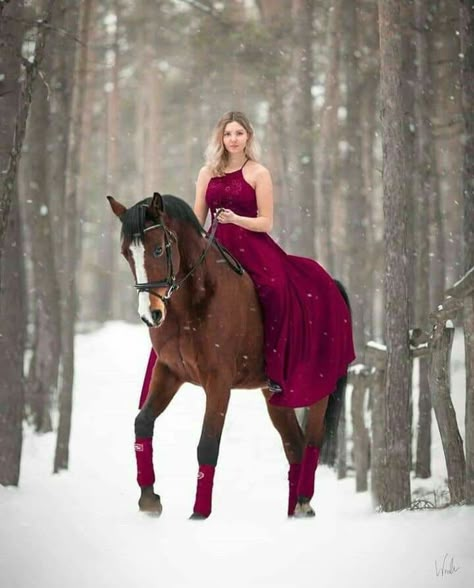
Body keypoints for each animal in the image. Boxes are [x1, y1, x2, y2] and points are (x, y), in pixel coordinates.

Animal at [107, 193, 348, 520]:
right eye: (126, 254)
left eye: (158, 249)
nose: (150, 315)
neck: (194, 300)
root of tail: (331, 283)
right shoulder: (169, 371)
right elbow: (142, 422)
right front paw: (149, 500)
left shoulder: (218, 382)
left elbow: (207, 445)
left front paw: (199, 514)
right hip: (275, 395)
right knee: (294, 445)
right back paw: (292, 511)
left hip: (317, 390)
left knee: (312, 442)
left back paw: (303, 502)